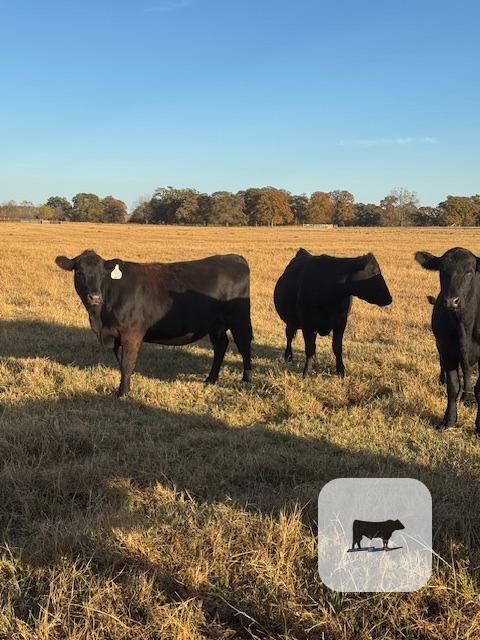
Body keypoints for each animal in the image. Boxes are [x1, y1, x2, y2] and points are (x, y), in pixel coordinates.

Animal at [55, 250, 253, 396]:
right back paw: (210, 379)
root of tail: (233, 257)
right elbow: (122, 362)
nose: (95, 297)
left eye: (103, 274)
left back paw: (246, 380)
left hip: (239, 319)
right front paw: (125, 388)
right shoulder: (116, 335)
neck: (100, 319)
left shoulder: (132, 332)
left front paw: (122, 393)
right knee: (221, 346)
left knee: (244, 345)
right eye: (79, 273)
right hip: (215, 324)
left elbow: (127, 362)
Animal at [273, 249, 392, 378]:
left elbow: (337, 347)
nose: (389, 298)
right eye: (375, 272)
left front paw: (341, 371)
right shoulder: (307, 323)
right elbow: (309, 348)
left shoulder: (341, 322)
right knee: (289, 335)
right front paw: (306, 372)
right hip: (291, 320)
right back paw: (288, 356)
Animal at [416, 248, 480, 432]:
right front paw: (449, 420)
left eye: (469, 271)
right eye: (442, 270)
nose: (451, 301)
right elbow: (453, 386)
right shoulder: (447, 350)